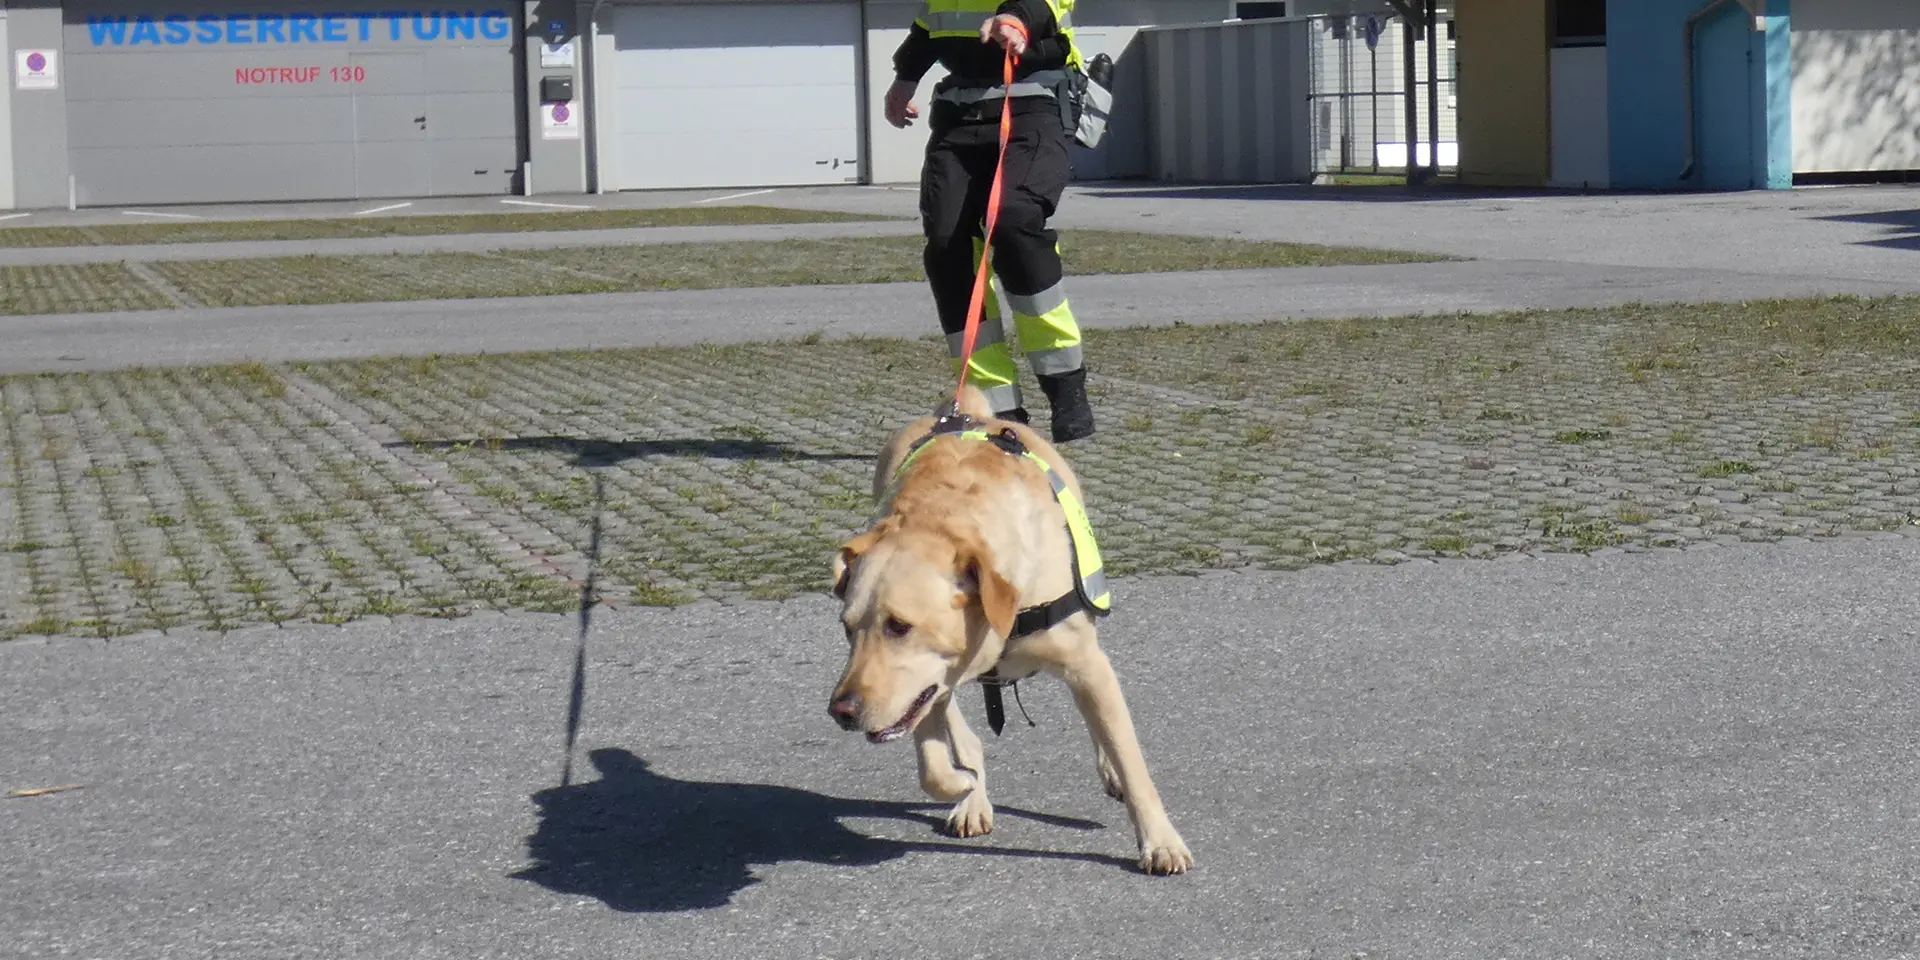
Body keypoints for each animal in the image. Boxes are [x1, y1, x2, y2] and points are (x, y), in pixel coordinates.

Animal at [833, 385, 1190, 875]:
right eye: (847, 628)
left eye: (899, 626)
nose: (841, 711)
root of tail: (968, 413)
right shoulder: (927, 685)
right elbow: (933, 766)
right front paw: (964, 785)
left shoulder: (1086, 664)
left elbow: (1131, 761)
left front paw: (1160, 841)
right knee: (963, 736)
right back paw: (972, 793)